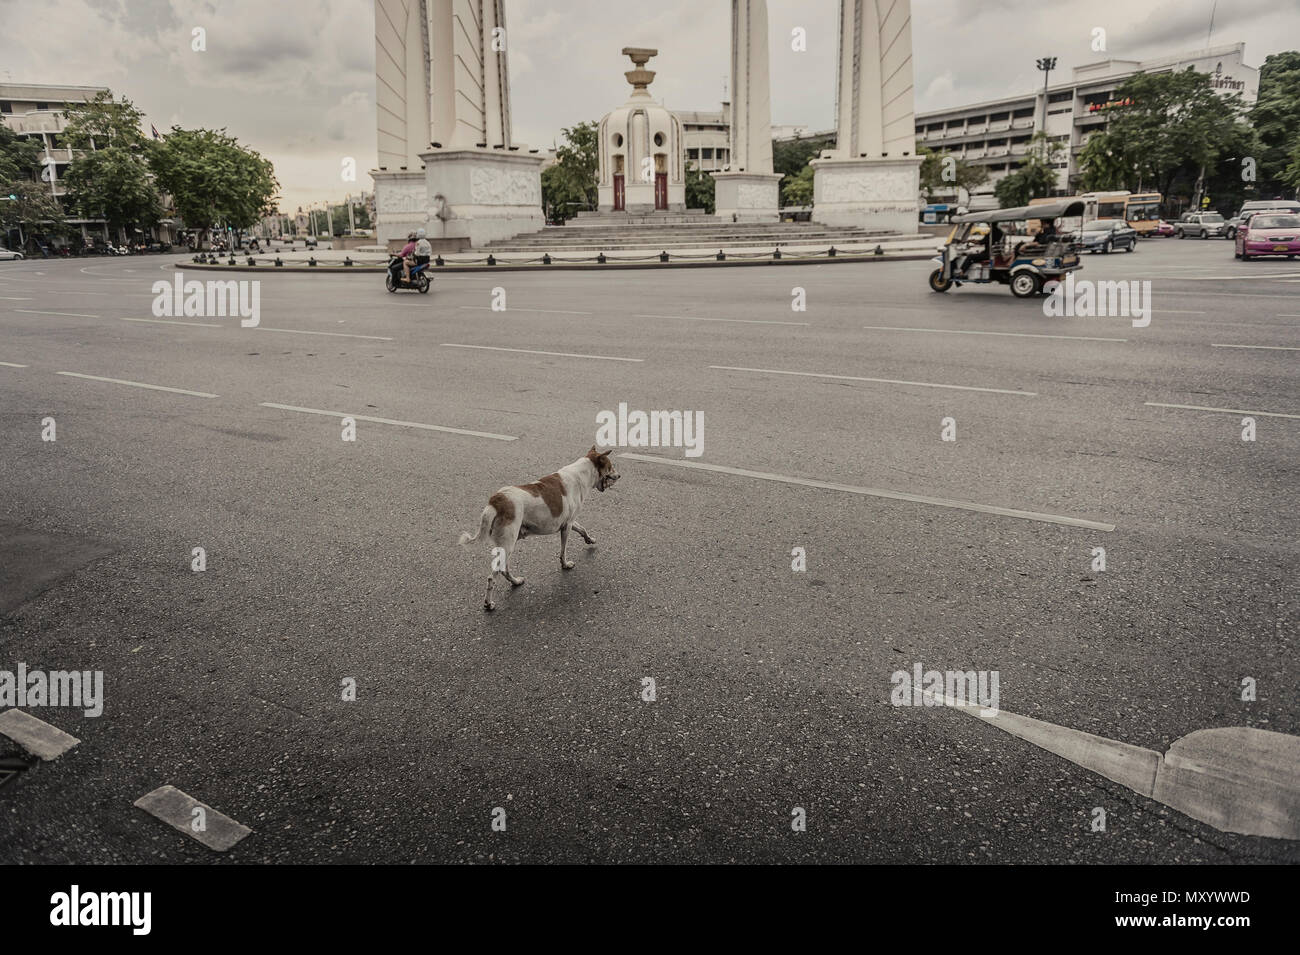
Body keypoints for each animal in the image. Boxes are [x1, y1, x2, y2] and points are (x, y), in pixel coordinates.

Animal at [457, 446, 618, 613]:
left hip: (507, 545)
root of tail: (497, 500)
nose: (619, 475)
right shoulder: (566, 527)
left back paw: (515, 582)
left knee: (504, 569)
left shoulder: (569, 522)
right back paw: (489, 604)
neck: (582, 473)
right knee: (492, 577)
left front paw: (589, 539)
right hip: (508, 544)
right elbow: (563, 550)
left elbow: (582, 529)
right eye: (611, 466)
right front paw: (565, 565)